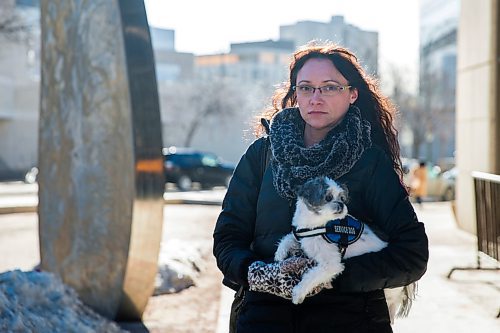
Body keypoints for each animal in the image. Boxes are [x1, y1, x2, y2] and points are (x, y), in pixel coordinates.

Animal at [274, 176, 414, 322]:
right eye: (328, 197)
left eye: (342, 198)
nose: (341, 205)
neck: (319, 226)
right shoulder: (302, 236)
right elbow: (289, 238)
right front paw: (280, 253)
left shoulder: (331, 264)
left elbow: (311, 276)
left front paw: (298, 293)